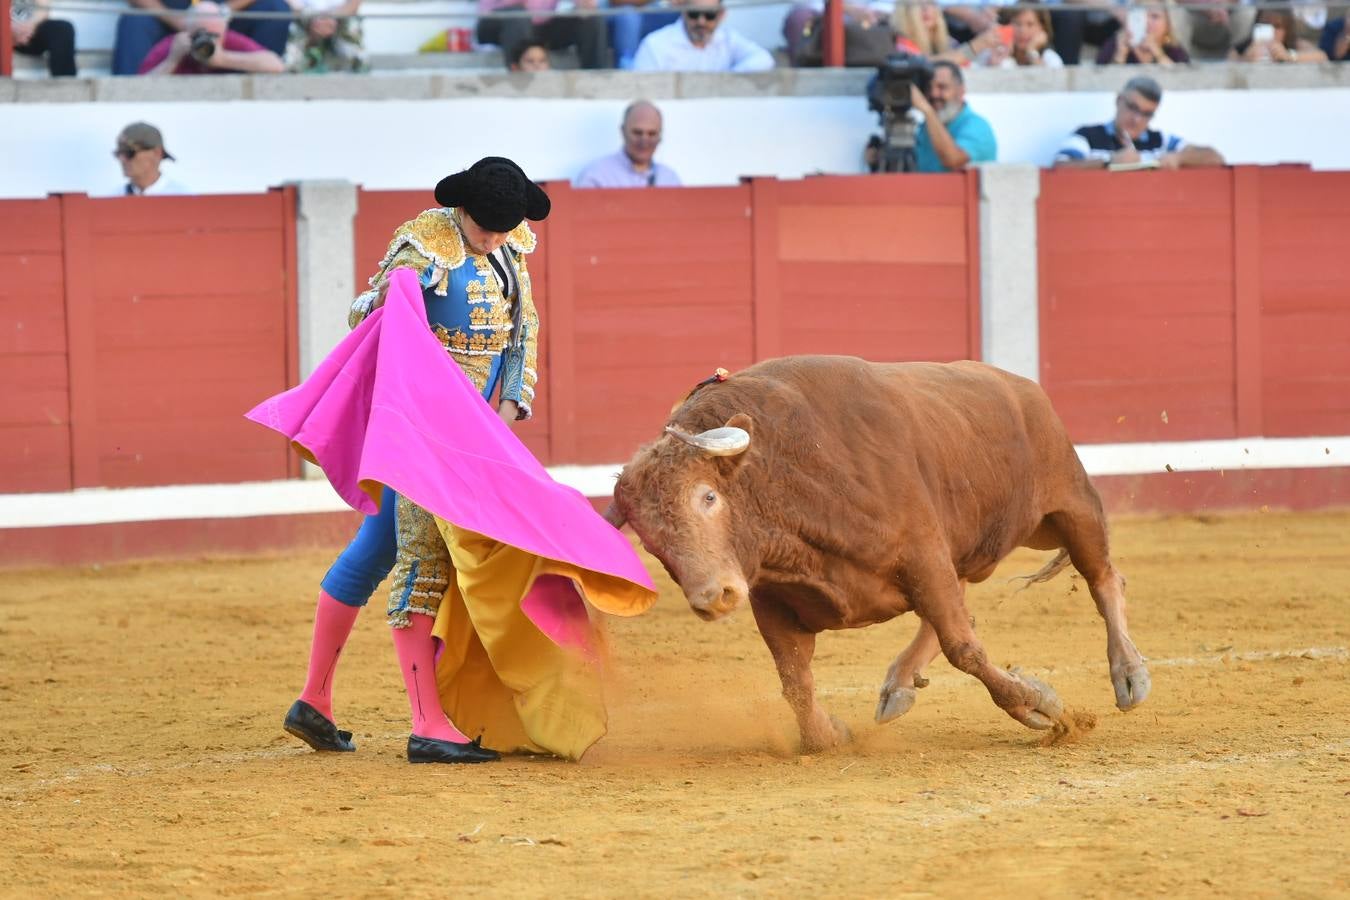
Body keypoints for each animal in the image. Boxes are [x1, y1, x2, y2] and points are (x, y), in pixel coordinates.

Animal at [610, 356, 1150, 750]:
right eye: (650, 541)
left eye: (708, 497)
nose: (713, 597)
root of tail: (1020, 385)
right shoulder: (771, 596)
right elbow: (795, 679)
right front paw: (827, 733)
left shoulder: (923, 553)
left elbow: (965, 649)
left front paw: (1040, 705)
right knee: (961, 607)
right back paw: (900, 684)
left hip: (1071, 503)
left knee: (1104, 577)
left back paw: (1129, 674)